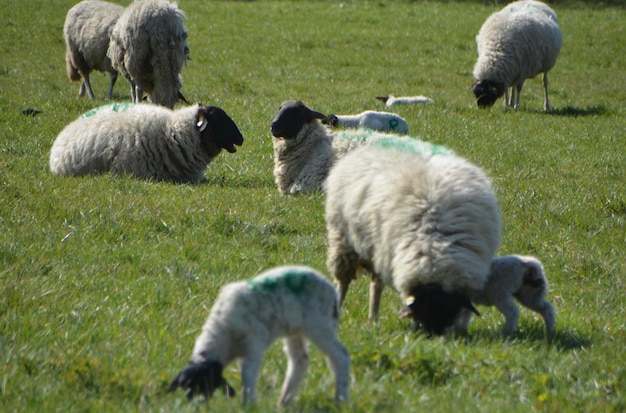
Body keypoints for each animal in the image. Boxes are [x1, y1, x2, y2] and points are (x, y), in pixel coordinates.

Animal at [166, 266, 352, 404]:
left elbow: (248, 372)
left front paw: (249, 403)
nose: (196, 405)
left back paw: (340, 399)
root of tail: (332, 291)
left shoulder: (254, 341)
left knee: (340, 356)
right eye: (186, 388)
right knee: (300, 360)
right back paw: (284, 401)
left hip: (319, 324)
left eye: (205, 385)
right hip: (295, 329)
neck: (223, 337)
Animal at [324, 143, 500, 334]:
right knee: (344, 281)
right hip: (345, 241)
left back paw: (373, 319)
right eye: (425, 312)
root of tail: (368, 148)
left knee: (375, 285)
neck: (436, 248)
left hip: (376, 251)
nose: (434, 336)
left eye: (450, 312)